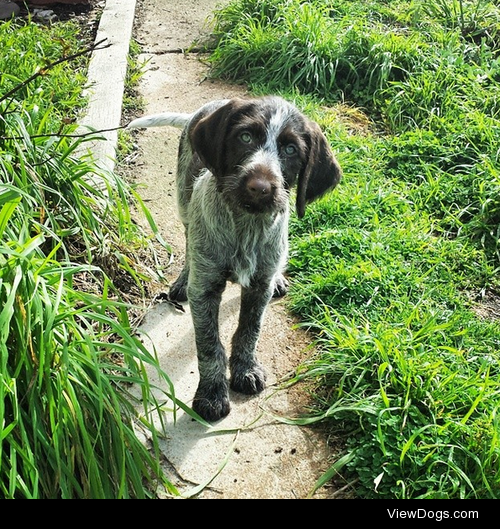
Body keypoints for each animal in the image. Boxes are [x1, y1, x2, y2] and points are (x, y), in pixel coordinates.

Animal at [127, 96, 342, 420]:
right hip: (184, 200)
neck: (246, 228)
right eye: (245, 137)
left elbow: (249, 330)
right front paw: (212, 394)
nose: (259, 187)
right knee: (188, 237)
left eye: (291, 149)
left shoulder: (259, 287)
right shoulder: (205, 290)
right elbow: (209, 346)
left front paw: (245, 369)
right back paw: (182, 280)